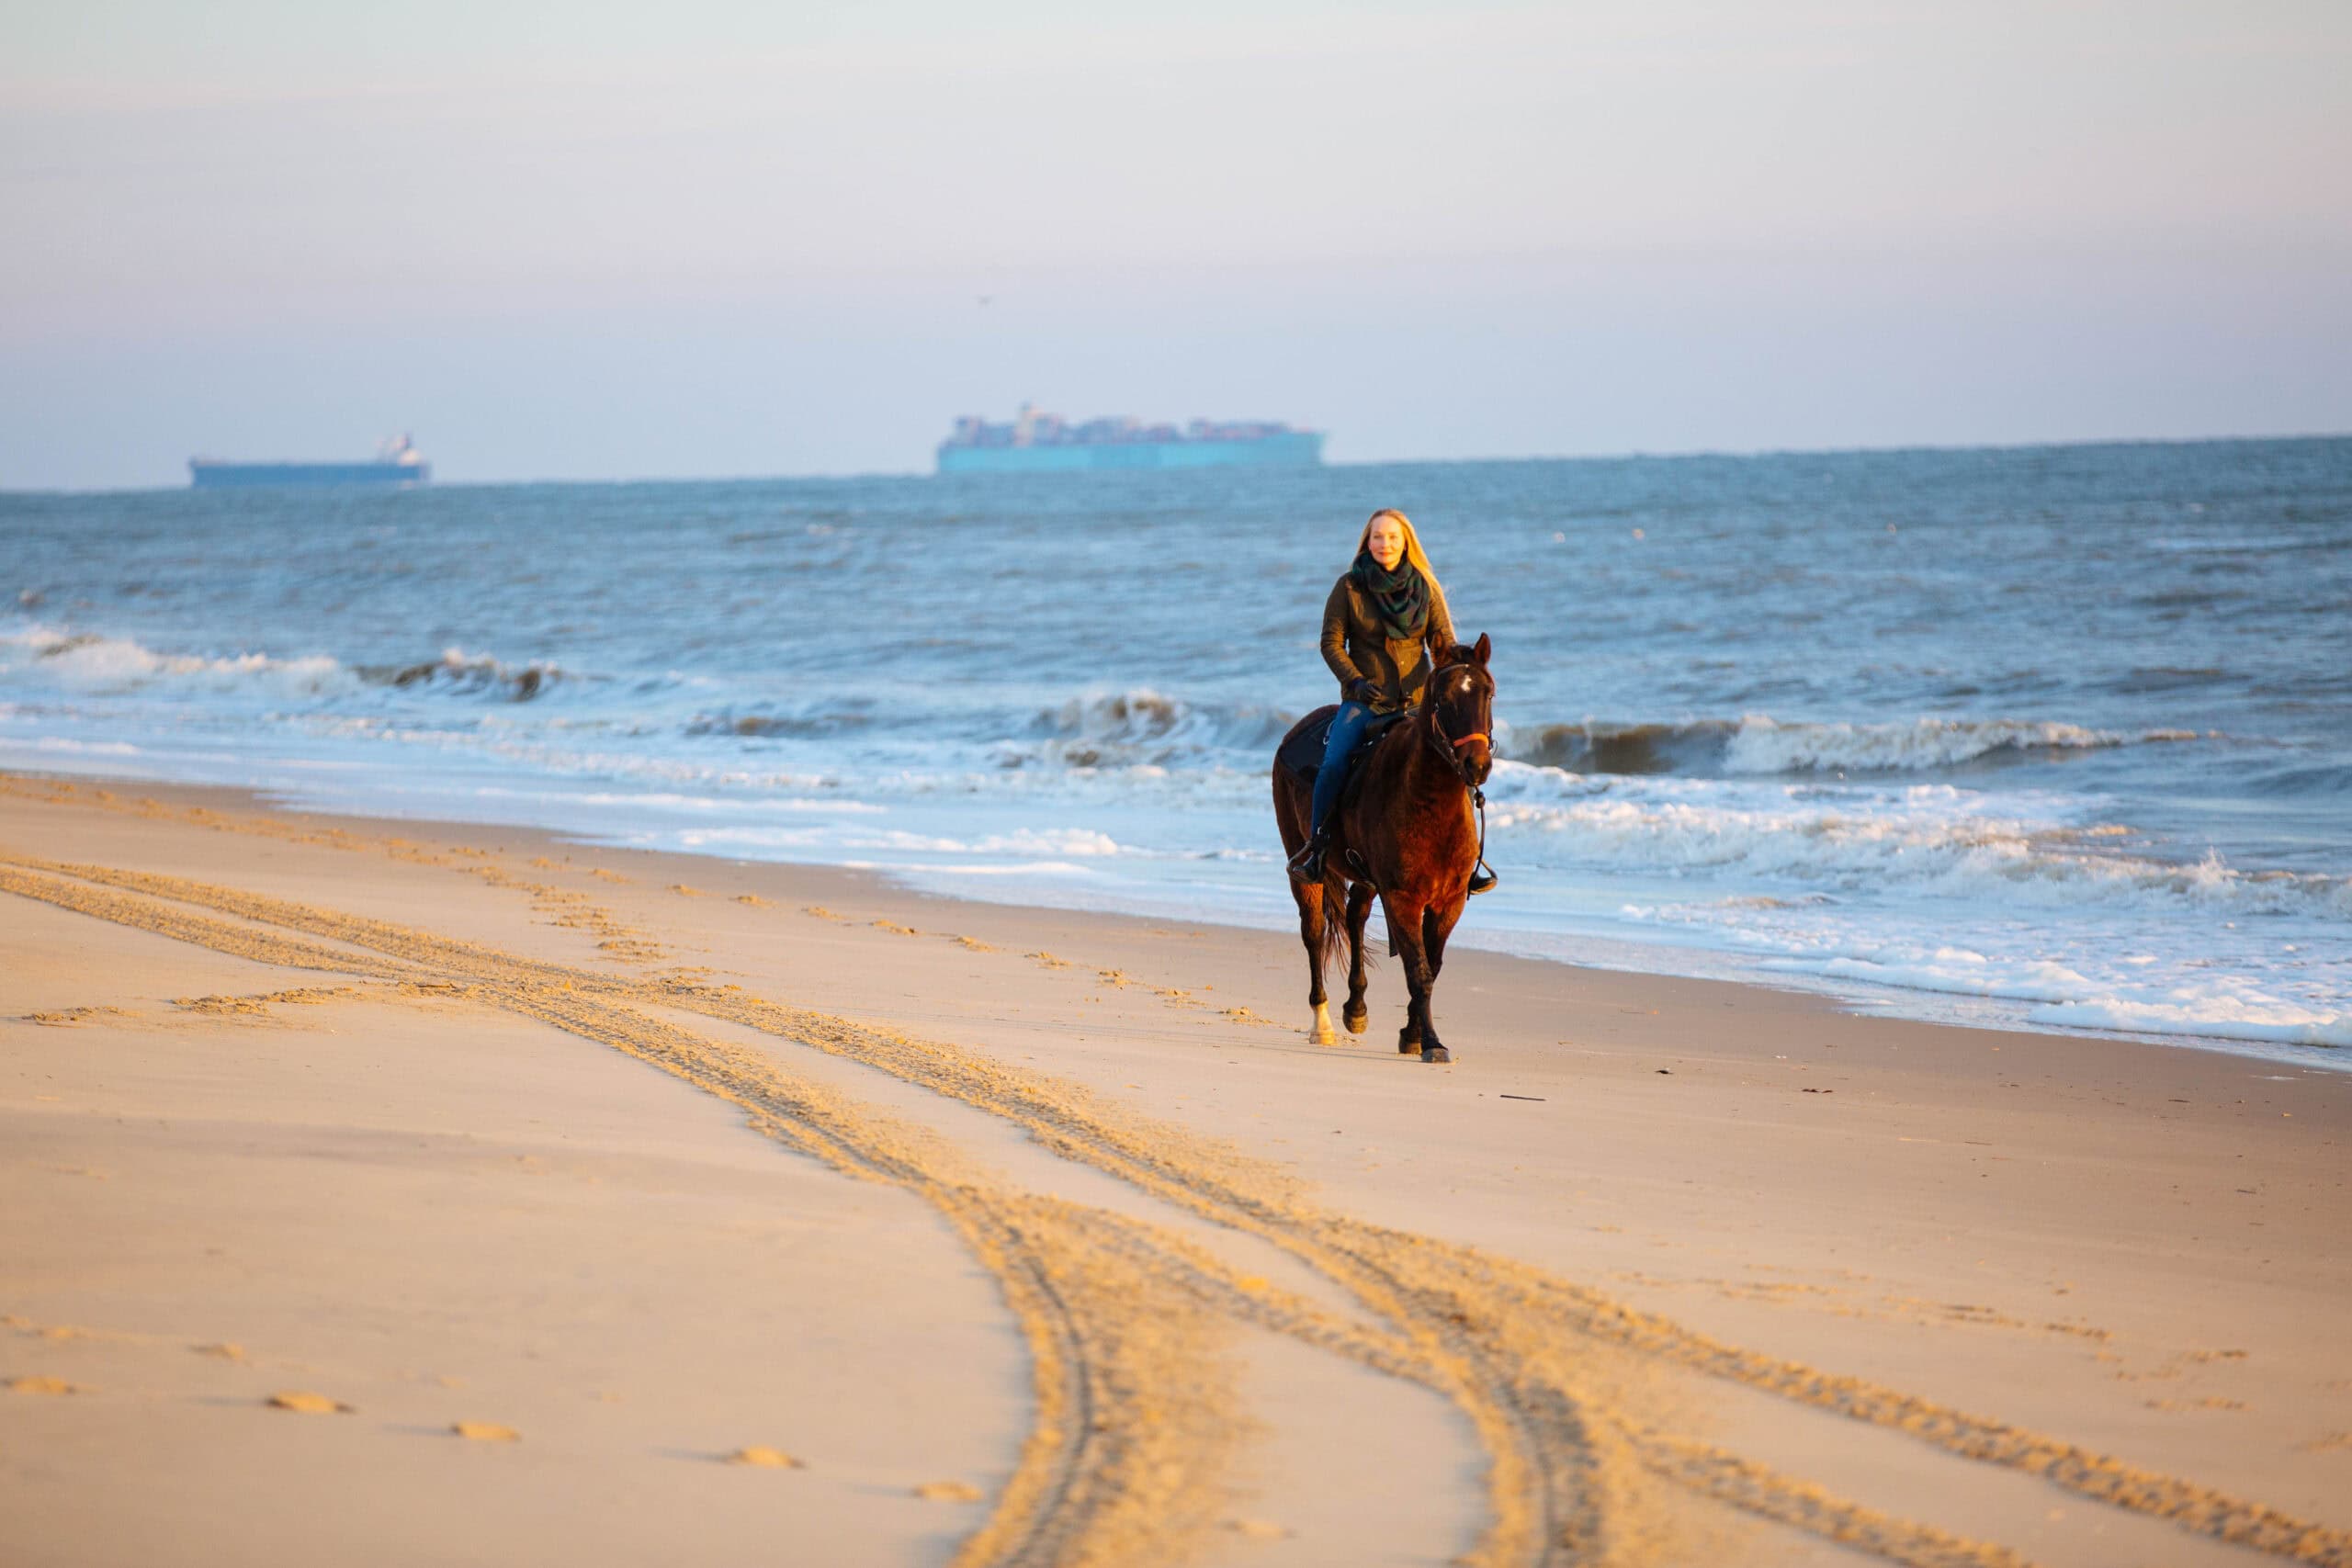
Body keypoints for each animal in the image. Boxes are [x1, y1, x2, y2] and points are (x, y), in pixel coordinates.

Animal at [1270, 634, 1495, 1063]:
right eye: (1443, 699)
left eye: (1488, 692)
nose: (1476, 765)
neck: (1430, 804)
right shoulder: (1402, 898)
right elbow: (1418, 970)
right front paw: (1431, 1042)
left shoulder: (1449, 901)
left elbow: (1431, 965)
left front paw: (1412, 1034)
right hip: (1307, 868)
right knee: (1314, 931)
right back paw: (1322, 1023)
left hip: (1364, 878)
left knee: (1355, 918)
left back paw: (1355, 1009)